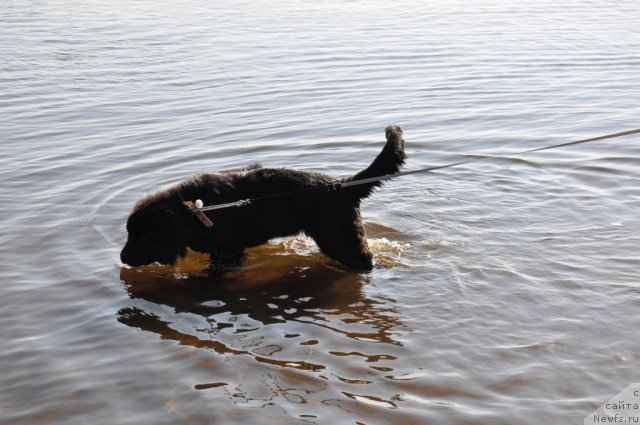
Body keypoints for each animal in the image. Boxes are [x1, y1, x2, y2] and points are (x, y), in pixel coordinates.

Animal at [121, 124, 404, 268]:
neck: (195, 210)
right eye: (129, 233)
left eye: (142, 237)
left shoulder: (227, 251)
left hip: (342, 238)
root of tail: (340, 185)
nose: (122, 258)